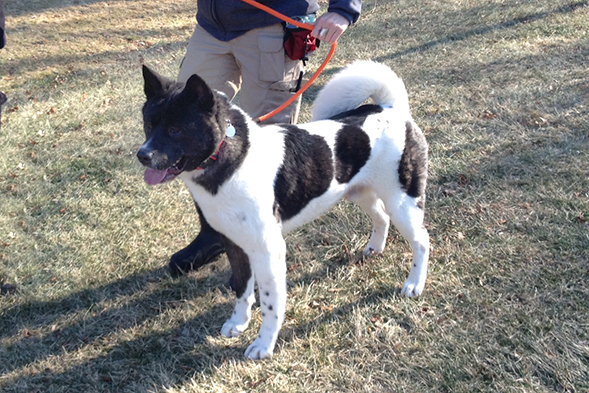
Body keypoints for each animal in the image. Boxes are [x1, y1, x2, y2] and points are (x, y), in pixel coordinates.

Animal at [138, 61, 432, 358]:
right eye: (149, 125)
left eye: (175, 130)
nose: (142, 155)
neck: (233, 157)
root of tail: (391, 108)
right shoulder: (236, 244)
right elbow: (242, 289)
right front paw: (239, 323)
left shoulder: (269, 249)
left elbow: (271, 304)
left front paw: (264, 344)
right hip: (362, 193)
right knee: (381, 217)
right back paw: (374, 249)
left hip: (402, 200)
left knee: (422, 240)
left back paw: (414, 284)